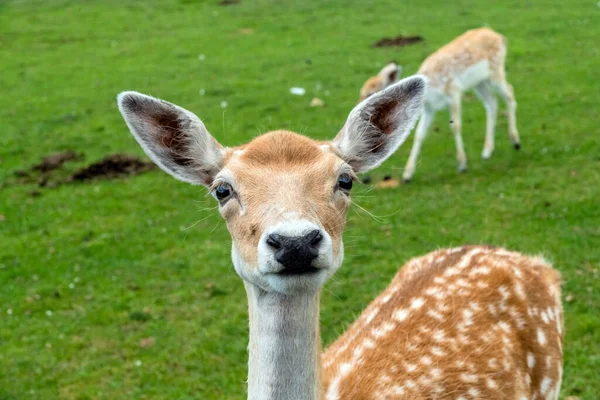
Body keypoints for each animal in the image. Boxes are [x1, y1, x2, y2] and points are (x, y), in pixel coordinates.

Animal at [358, 28, 524, 183]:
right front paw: (407, 175)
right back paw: (487, 152)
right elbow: (419, 134)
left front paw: (462, 165)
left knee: (509, 93)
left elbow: (455, 126)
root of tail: (499, 36)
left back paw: (515, 142)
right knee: (491, 102)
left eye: (370, 93)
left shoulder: (454, 92)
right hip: (479, 82)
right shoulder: (429, 109)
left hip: (495, 70)